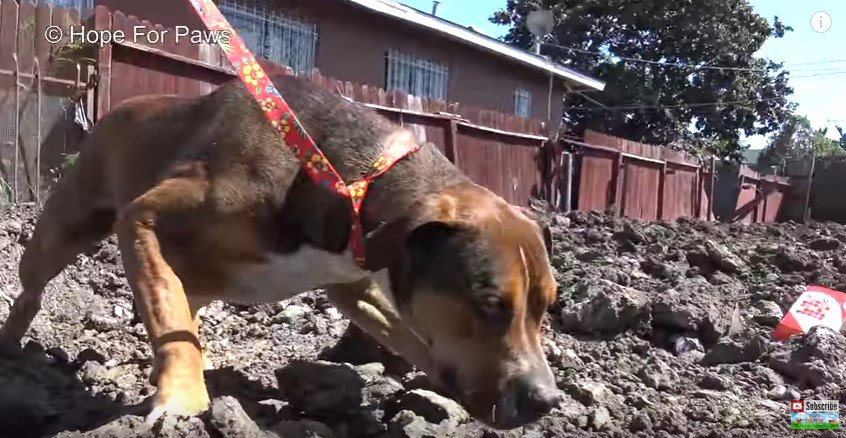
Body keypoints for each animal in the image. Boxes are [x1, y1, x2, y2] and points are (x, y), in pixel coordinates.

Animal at [0, 74, 564, 428]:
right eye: (488, 305)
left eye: (548, 308)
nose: (548, 400)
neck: (352, 182)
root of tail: (118, 107)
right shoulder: (144, 215)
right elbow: (170, 316)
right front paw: (181, 398)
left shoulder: (353, 283)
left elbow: (412, 337)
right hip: (65, 230)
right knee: (36, 287)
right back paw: (13, 347)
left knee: (179, 304)